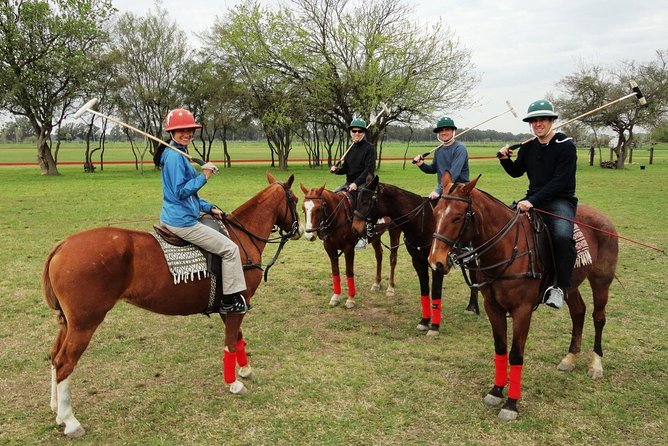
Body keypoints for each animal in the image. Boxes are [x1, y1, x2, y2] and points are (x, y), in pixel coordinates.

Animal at [41, 172, 302, 438]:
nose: (300, 230)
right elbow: (230, 342)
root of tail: (62, 245)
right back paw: (71, 421)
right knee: (64, 362)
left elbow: (238, 338)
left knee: (54, 354)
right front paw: (234, 383)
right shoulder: (239, 301)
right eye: (295, 199)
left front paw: (246, 370)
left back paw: (57, 411)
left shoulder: (232, 305)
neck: (242, 238)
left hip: (69, 322)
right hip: (85, 322)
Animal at [352, 174, 478, 334]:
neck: (422, 223)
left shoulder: (437, 264)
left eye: (366, 201)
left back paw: (472, 306)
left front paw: (434, 326)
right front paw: (424, 321)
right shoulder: (418, 262)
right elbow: (424, 290)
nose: (355, 228)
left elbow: (435, 291)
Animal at [426, 172, 620, 420]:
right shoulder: (492, 307)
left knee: (598, 317)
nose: (436, 261)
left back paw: (596, 364)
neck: (506, 248)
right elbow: (500, 349)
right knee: (579, 312)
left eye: (458, 217)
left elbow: (516, 355)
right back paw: (570, 358)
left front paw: (511, 405)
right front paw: (496, 391)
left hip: (601, 280)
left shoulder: (523, 310)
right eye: (436, 213)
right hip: (570, 284)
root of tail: (603, 216)